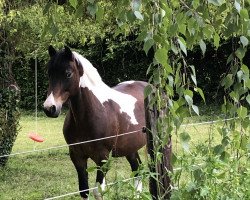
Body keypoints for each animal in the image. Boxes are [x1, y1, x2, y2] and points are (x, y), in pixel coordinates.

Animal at [44, 46, 147, 199]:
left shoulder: (103, 158)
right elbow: (84, 191)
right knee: (138, 170)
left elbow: (98, 191)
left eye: (68, 74)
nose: (49, 108)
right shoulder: (77, 157)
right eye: (49, 73)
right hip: (131, 148)